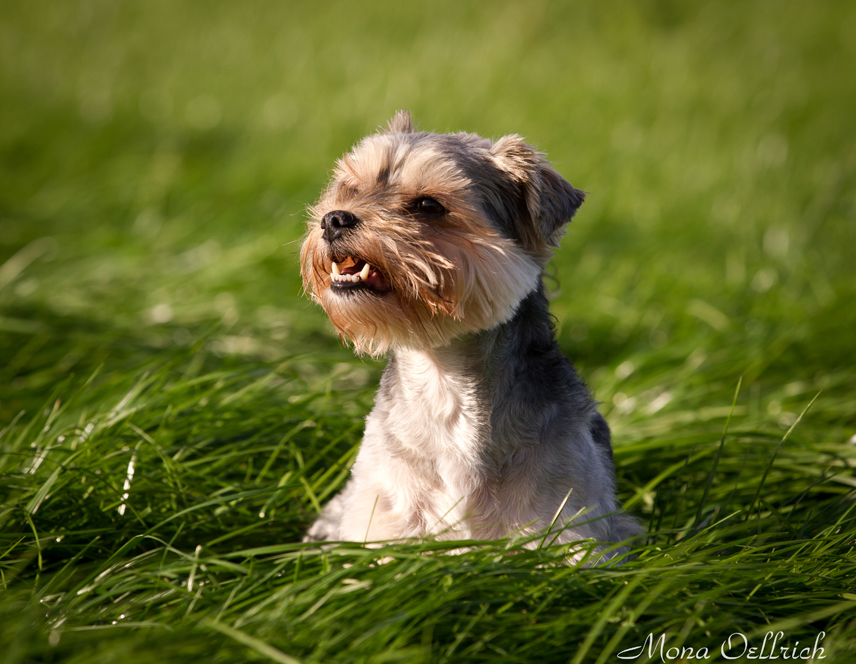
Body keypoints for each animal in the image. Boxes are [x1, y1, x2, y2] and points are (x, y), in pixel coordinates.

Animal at [300, 111, 640, 564]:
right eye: (352, 188)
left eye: (428, 205)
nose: (334, 218)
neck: (443, 377)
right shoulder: (379, 519)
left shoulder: (568, 524)